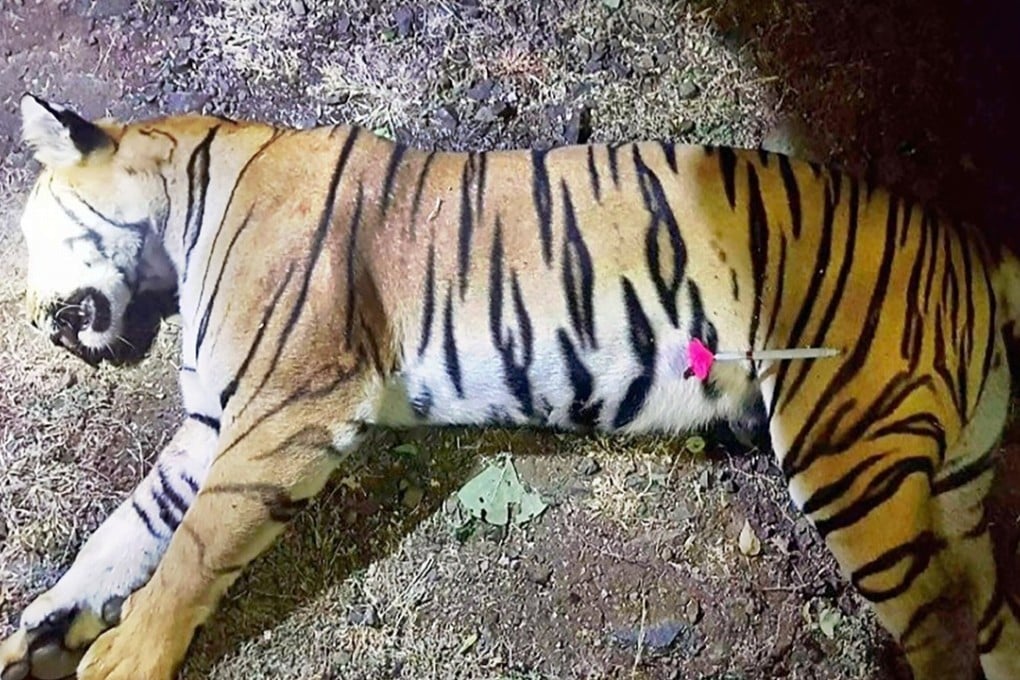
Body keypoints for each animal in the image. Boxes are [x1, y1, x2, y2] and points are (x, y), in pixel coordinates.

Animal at [1, 92, 1019, 680]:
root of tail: (973, 250)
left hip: (850, 454)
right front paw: (40, 630)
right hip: (953, 483)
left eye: (31, 232)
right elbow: (125, 534)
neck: (180, 211)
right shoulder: (214, 423)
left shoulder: (283, 411)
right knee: (994, 616)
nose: (34, 316)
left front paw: (124, 655)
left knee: (941, 628)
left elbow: (191, 551)